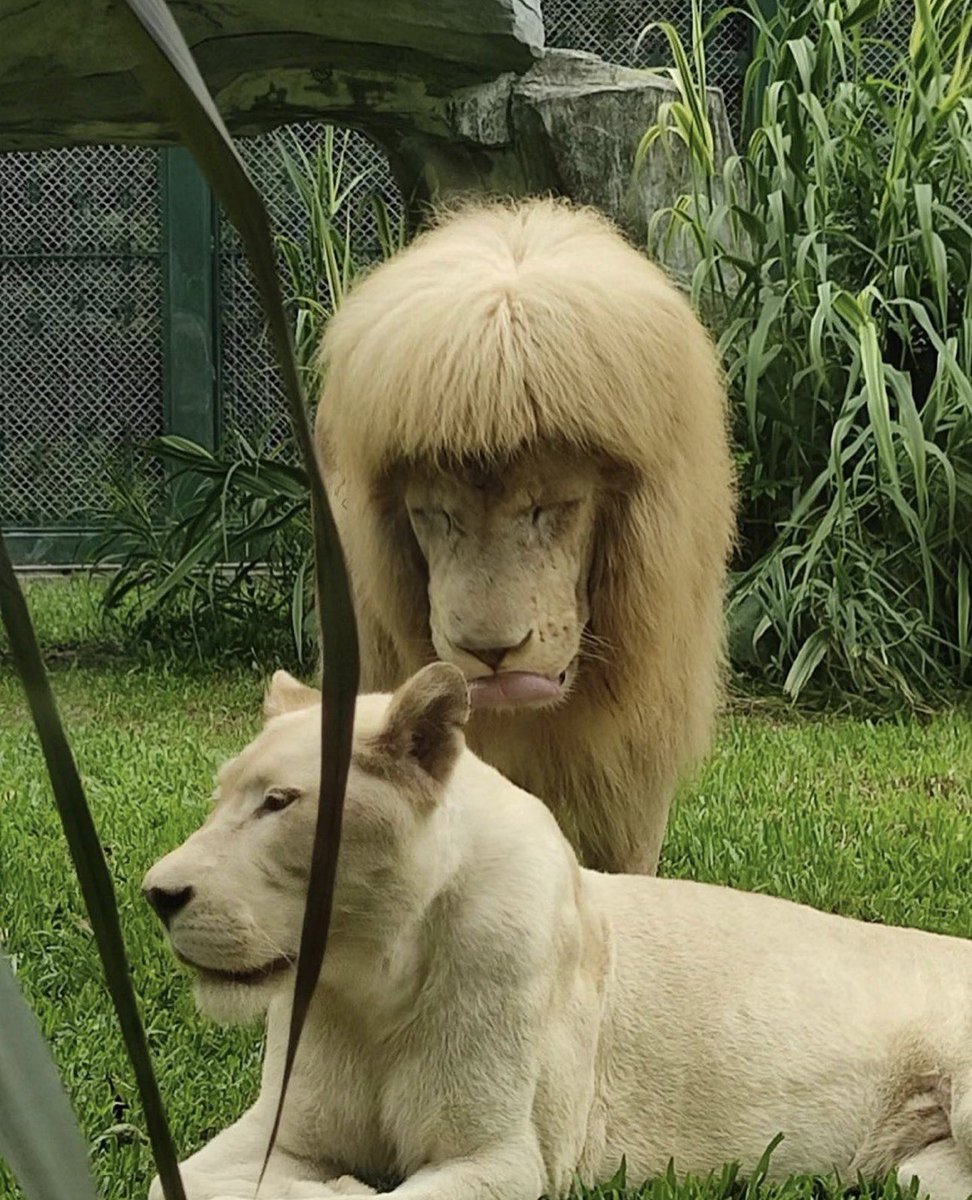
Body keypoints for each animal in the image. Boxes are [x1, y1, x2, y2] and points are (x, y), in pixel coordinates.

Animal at [145, 664, 972, 1200]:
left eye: (279, 802)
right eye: (220, 797)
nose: (157, 894)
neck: (371, 982)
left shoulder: (510, 1159)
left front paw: (333, 1191)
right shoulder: (284, 1131)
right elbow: (169, 1181)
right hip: (919, 1175)